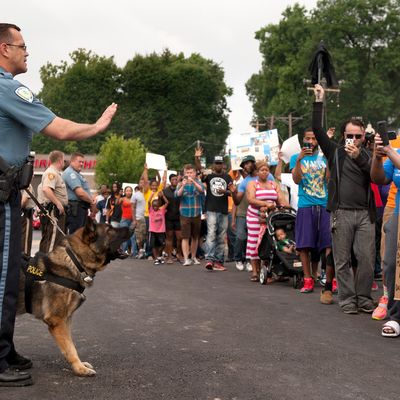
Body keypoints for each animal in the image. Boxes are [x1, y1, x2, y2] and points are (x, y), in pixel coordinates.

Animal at [16, 217, 131, 376]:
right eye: (109, 230)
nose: (131, 227)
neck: (76, 261)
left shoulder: (66, 320)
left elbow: (70, 343)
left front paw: (79, 364)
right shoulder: (57, 321)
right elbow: (70, 348)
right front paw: (79, 368)